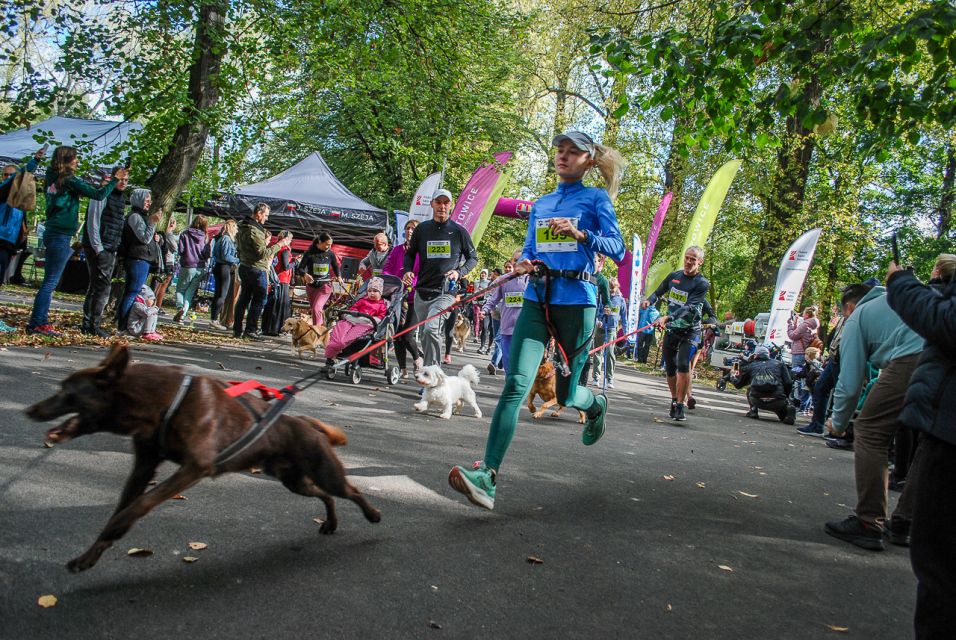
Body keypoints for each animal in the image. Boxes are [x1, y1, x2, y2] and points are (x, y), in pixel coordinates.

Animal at [24, 344, 380, 576]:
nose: (30, 410)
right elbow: (125, 506)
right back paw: (331, 523)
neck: (162, 399)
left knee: (351, 492)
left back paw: (373, 515)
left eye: (65, 390)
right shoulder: (144, 466)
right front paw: (90, 555)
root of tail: (306, 422)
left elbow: (139, 505)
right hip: (294, 481)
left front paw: (116, 528)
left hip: (324, 472)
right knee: (326, 497)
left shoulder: (194, 467)